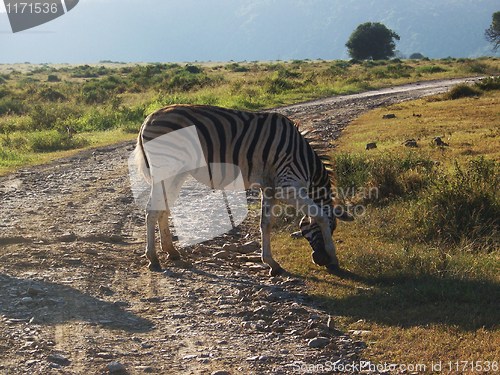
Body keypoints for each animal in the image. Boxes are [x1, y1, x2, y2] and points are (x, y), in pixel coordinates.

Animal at [133, 105, 352, 276]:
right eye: (333, 227)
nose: (320, 260)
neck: (306, 162)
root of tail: (148, 119)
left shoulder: (271, 188)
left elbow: (266, 224)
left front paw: (272, 264)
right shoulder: (287, 187)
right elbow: (320, 215)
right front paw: (334, 258)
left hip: (175, 174)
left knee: (162, 208)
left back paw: (171, 251)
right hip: (167, 169)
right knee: (152, 210)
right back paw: (153, 259)